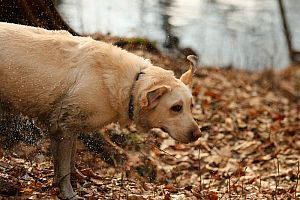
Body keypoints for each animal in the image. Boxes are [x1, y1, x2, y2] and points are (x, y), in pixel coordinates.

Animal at [0, 22, 202, 199]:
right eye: (176, 108)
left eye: (191, 106)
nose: (198, 134)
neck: (132, 84)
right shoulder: (63, 126)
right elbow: (64, 167)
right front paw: (69, 193)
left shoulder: (68, 126)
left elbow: (69, 160)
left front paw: (76, 178)